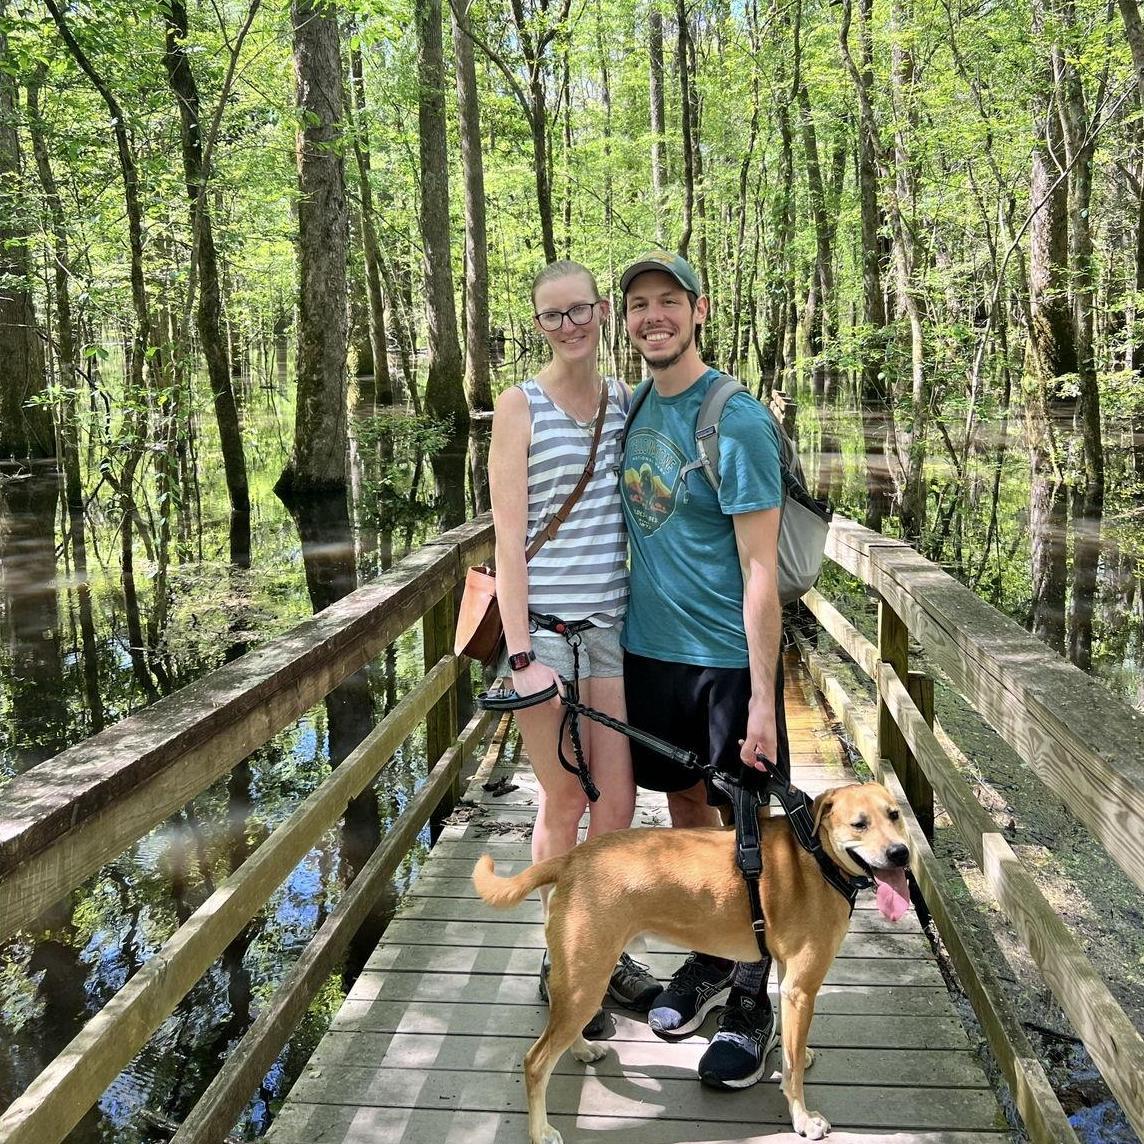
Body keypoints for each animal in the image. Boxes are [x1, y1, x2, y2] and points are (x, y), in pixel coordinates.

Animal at [471, 782, 910, 1139]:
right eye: (859, 824)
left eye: (894, 815)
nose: (901, 853)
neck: (816, 853)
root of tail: (571, 858)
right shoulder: (803, 987)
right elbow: (795, 1070)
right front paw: (802, 1118)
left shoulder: (790, 980)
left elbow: (791, 1047)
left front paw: (795, 1055)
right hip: (586, 979)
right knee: (535, 1062)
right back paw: (541, 1131)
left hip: (581, 979)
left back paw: (581, 1049)